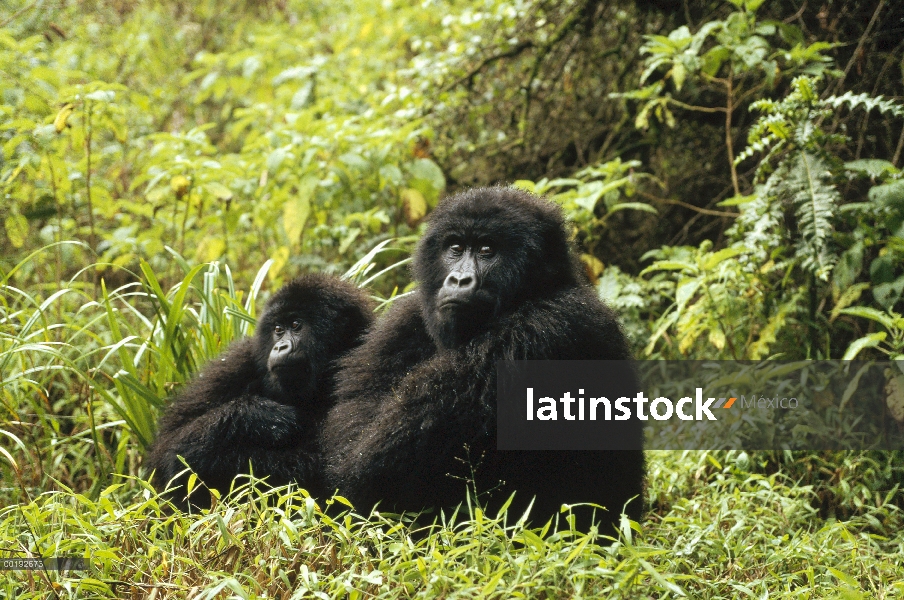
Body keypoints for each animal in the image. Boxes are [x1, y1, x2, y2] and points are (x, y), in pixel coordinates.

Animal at [147, 274, 372, 508]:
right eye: (278, 329)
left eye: (296, 325)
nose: (280, 347)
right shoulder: (237, 361)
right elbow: (170, 450)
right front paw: (259, 415)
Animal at [322, 186, 648, 528]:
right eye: (455, 248)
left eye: (487, 250)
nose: (458, 280)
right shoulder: (405, 319)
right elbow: (352, 432)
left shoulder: (546, 328)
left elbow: (372, 468)